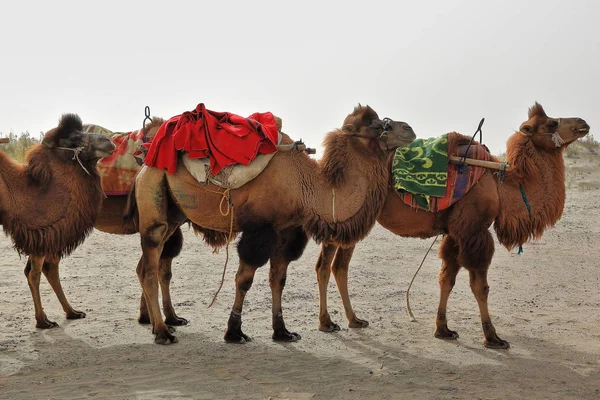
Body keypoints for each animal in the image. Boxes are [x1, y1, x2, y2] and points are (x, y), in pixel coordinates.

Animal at [0, 112, 116, 328]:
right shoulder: (40, 231)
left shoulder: (49, 232)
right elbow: (34, 274)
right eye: (74, 139)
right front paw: (42, 321)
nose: (108, 140)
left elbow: (47, 269)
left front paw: (71, 312)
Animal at [316, 102, 588, 346]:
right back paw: (327, 323)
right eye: (551, 123)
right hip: (341, 214)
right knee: (324, 266)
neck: (499, 184)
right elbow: (480, 286)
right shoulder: (474, 229)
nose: (583, 122)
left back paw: (354, 320)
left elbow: (446, 278)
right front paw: (493, 337)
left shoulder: (455, 231)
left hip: (359, 219)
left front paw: (443, 329)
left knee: (340, 266)